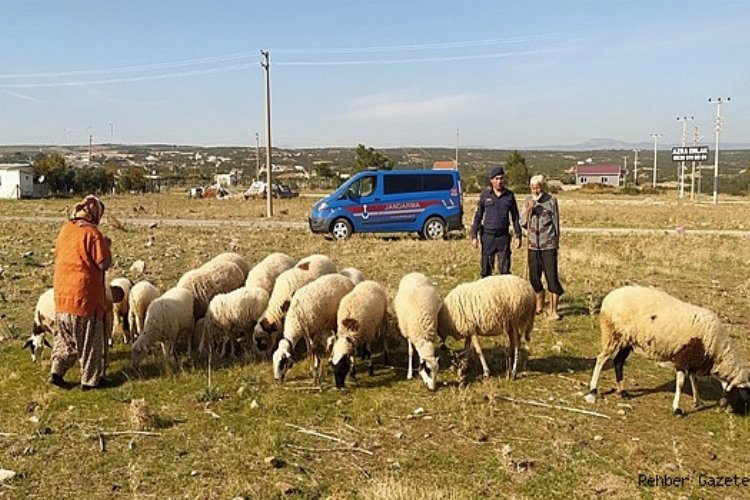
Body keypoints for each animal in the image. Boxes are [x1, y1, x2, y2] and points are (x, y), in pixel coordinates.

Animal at [588, 288, 750, 416]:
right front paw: (677, 409)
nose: (741, 414)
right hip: (613, 333)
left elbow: (694, 380)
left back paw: (622, 392)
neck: (717, 351)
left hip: (626, 340)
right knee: (602, 359)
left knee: (618, 362)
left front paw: (698, 402)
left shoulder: (694, 360)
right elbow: (681, 383)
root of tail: (609, 297)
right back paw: (593, 390)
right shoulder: (684, 359)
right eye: (745, 395)